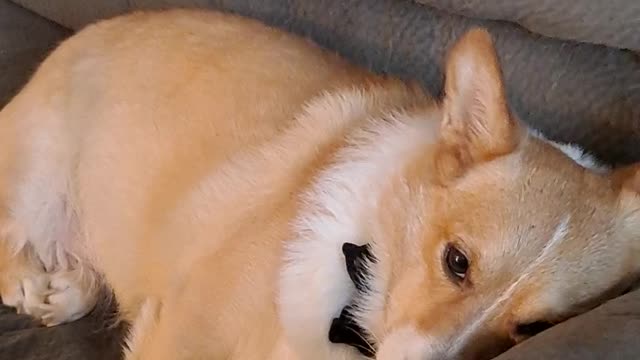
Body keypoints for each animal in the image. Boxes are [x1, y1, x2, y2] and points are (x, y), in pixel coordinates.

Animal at [1, 8, 640, 360]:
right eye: (457, 262)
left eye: (533, 329)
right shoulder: (183, 336)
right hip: (39, 170)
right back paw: (35, 281)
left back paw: (66, 289)